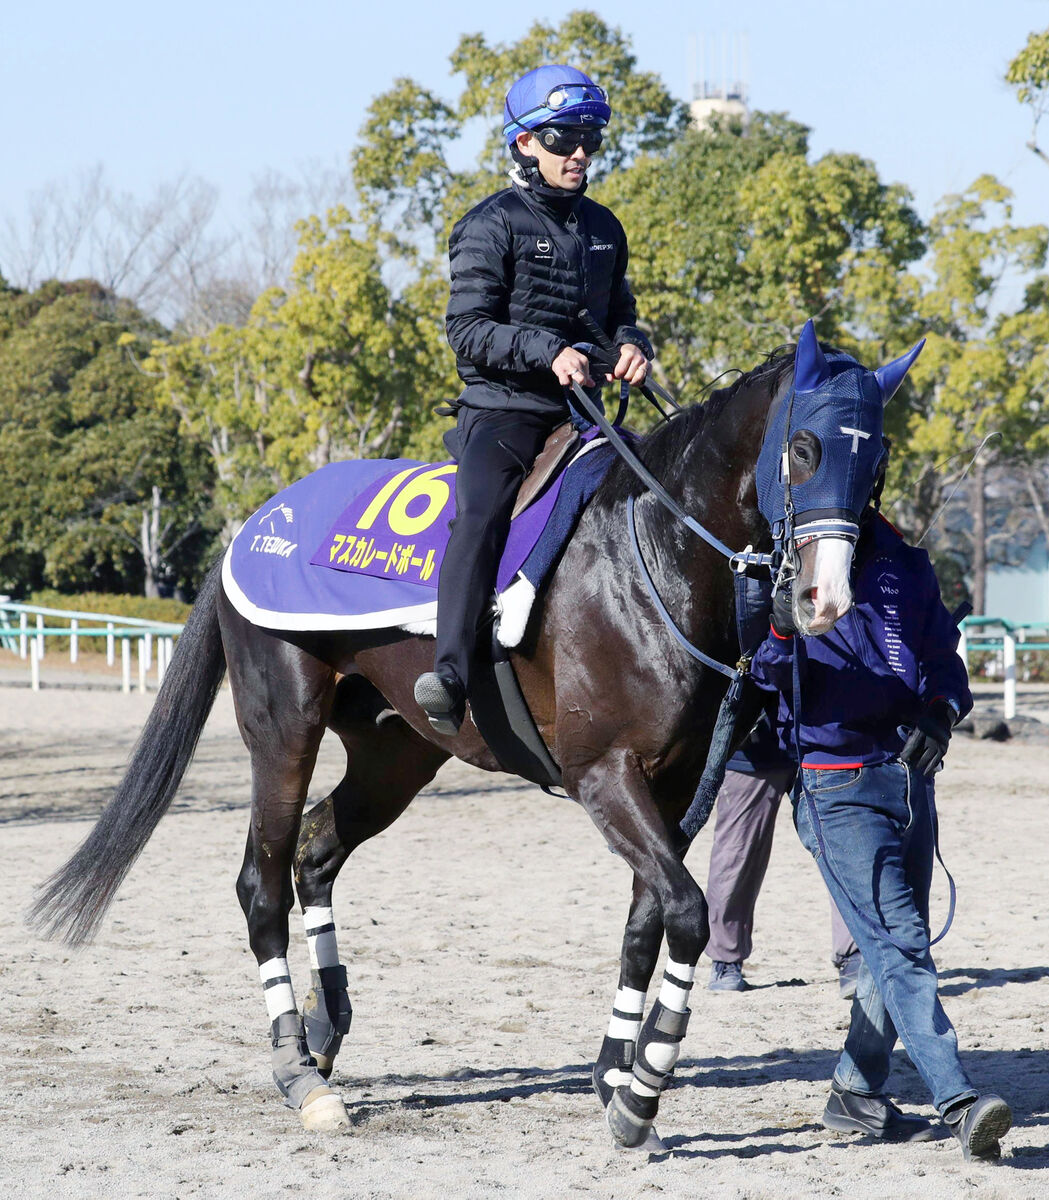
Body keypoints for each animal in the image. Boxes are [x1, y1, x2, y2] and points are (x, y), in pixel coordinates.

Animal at [30, 324, 916, 1147]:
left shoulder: (670, 784)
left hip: (395, 756)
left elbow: (646, 921)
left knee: (315, 851)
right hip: (283, 729)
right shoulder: (604, 775)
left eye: (875, 464)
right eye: (802, 449)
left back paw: (323, 1027)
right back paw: (297, 1070)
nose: (825, 600)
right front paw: (641, 1089)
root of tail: (258, 524)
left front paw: (613, 1074)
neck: (651, 559)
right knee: (262, 883)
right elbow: (688, 913)